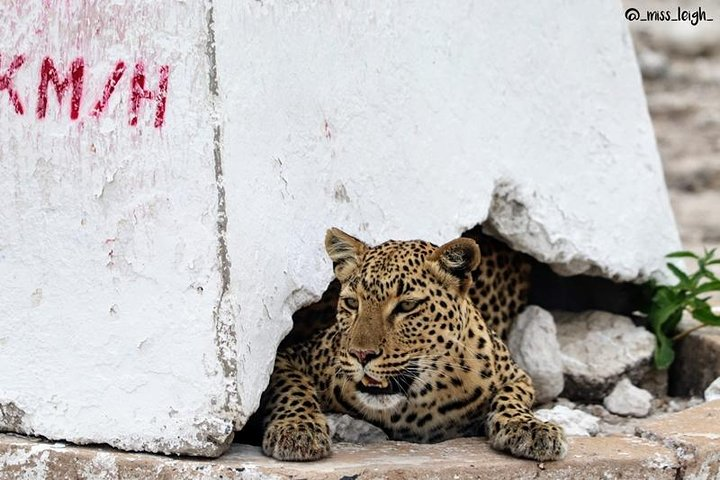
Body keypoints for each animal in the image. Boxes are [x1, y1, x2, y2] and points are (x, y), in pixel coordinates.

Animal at [260, 227, 568, 464]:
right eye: (351, 303)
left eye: (406, 306)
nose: (361, 354)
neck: (416, 407)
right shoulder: (291, 356)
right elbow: (292, 388)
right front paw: (298, 429)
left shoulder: (515, 375)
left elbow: (511, 397)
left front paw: (531, 428)